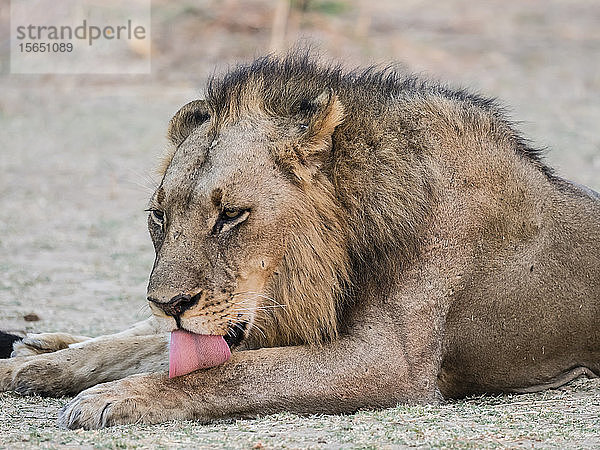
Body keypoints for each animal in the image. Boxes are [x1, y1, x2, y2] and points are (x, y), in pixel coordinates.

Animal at [1, 53, 600, 428]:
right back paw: (36, 347)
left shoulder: (389, 364)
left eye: (231, 216)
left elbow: (230, 373)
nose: (168, 303)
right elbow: (154, 351)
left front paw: (115, 397)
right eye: (158, 217)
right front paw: (27, 371)